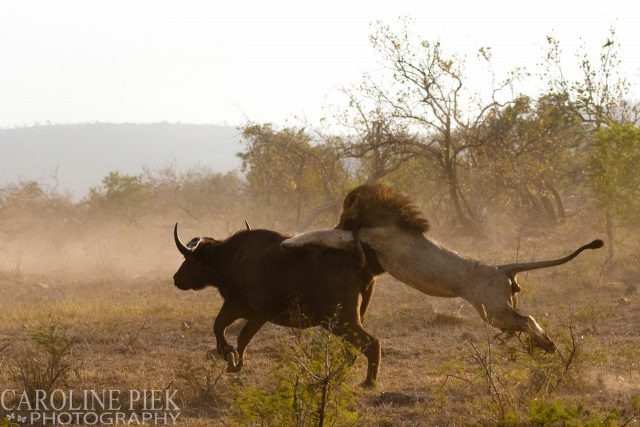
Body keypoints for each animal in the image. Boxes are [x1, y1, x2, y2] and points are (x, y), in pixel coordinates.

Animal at [171, 224, 384, 388]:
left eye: (189, 259)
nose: (176, 278)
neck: (230, 259)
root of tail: (358, 263)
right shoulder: (238, 308)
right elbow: (222, 329)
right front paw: (231, 358)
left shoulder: (254, 313)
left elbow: (236, 334)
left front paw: (232, 358)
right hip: (350, 319)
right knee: (352, 350)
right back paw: (339, 377)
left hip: (341, 320)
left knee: (371, 343)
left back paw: (368, 382)